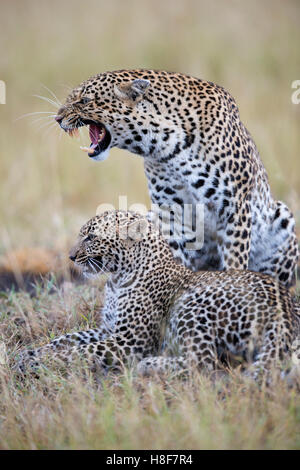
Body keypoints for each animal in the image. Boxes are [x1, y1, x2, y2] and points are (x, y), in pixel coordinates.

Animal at [16, 210, 300, 382]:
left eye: (91, 237)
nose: (71, 257)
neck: (116, 280)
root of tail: (284, 308)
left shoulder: (131, 340)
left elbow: (80, 351)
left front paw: (40, 362)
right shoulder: (109, 330)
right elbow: (70, 338)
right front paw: (33, 353)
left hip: (191, 306)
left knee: (204, 364)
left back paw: (149, 365)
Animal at [55, 68, 298, 288]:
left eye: (84, 100)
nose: (57, 118)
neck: (166, 145)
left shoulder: (234, 208)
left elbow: (235, 263)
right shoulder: (170, 213)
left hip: (282, 216)